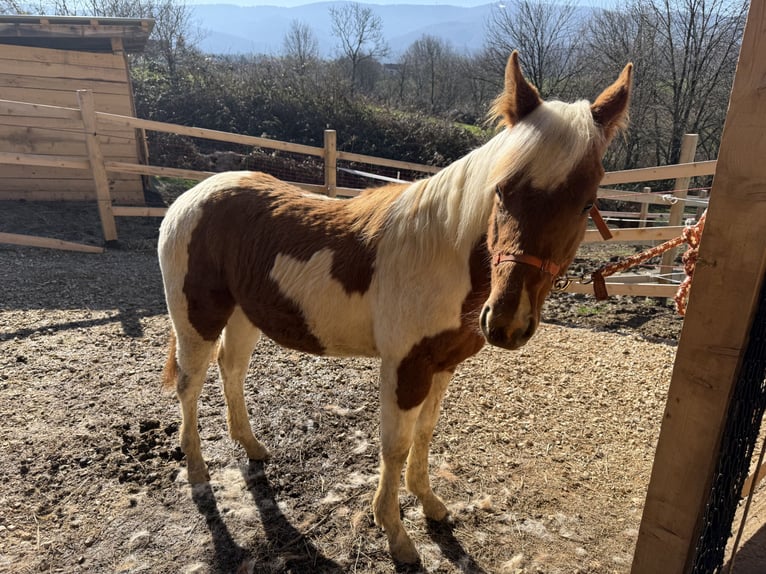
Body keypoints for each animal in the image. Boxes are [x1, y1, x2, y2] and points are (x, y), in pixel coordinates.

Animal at [159, 51, 632, 564]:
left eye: (586, 204)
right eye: (502, 190)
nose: (507, 323)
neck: (443, 252)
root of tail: (191, 196)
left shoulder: (442, 364)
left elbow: (424, 434)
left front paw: (430, 504)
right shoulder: (405, 365)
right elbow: (396, 444)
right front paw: (396, 533)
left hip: (244, 315)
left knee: (231, 369)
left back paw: (252, 447)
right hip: (198, 319)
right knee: (190, 384)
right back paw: (198, 474)